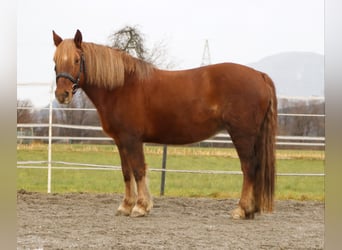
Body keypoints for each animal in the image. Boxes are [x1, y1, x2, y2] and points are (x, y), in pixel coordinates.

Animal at [53, 29, 278, 219]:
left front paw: (140, 207)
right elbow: (126, 172)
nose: (62, 94)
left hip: (242, 135)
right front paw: (126, 206)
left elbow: (138, 170)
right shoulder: (120, 140)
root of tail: (259, 75)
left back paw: (241, 209)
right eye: (54, 60)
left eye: (76, 60)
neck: (121, 87)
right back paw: (251, 210)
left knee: (249, 168)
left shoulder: (132, 139)